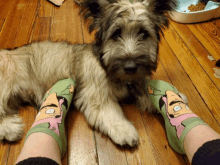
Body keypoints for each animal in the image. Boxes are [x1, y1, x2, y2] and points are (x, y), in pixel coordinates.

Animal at [0, 0, 175, 147]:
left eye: (144, 33)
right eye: (116, 34)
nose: (130, 67)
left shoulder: (134, 80)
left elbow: (144, 87)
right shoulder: (97, 95)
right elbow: (110, 112)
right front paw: (124, 130)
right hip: (5, 88)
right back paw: (10, 128)